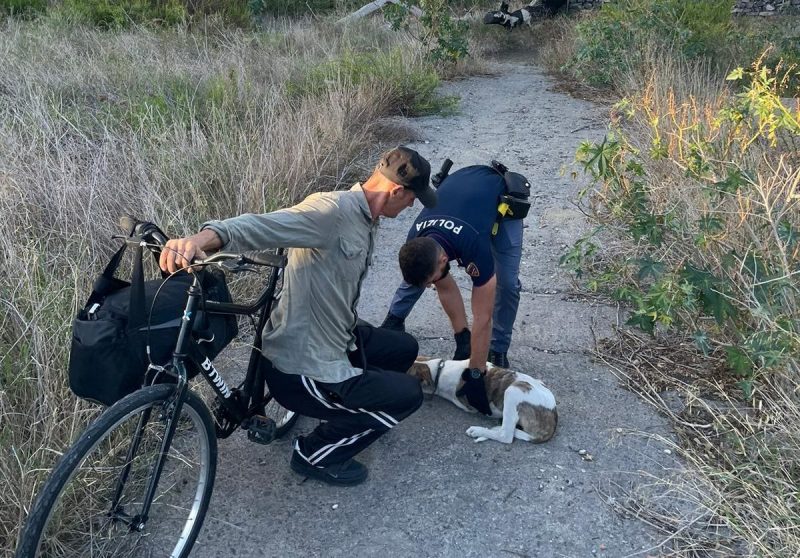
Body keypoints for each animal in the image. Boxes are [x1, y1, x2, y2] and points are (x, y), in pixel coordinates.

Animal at [406, 358, 556, 446]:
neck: (439, 370)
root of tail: (553, 418)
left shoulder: (462, 402)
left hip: (513, 390)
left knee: (506, 435)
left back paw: (478, 430)